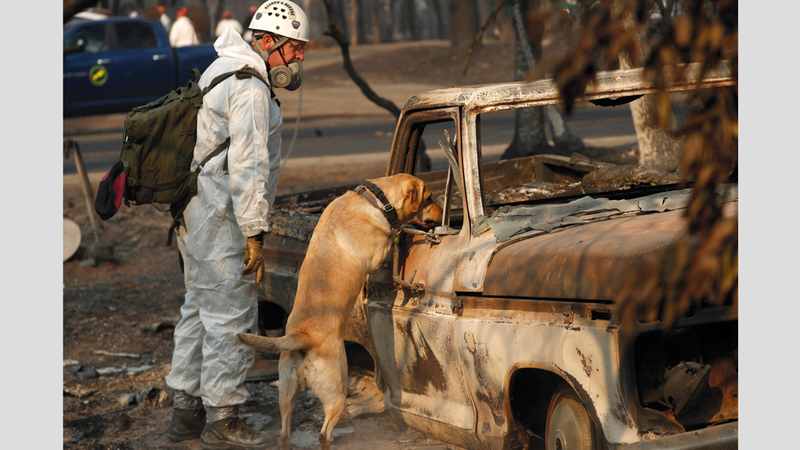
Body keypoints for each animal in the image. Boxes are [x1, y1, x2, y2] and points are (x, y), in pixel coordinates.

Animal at [238, 173, 443, 450]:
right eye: (429, 198)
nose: (442, 214)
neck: (374, 199)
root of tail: (302, 337)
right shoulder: (377, 256)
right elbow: (393, 237)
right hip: (337, 390)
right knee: (323, 432)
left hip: (287, 392)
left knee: (284, 432)